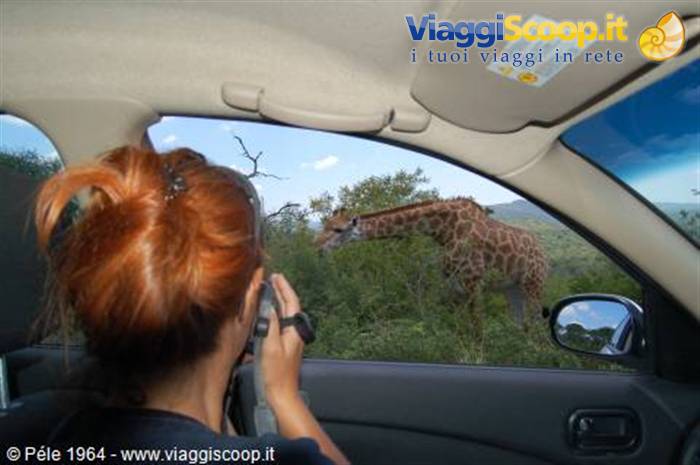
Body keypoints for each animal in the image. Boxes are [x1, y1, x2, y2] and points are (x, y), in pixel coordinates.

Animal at [315, 198, 549, 331]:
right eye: (325, 224)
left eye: (338, 229)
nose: (316, 247)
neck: (442, 229)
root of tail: (541, 250)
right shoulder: (453, 283)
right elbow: (461, 328)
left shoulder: (473, 280)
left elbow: (478, 327)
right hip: (513, 288)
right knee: (522, 325)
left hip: (534, 283)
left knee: (538, 322)